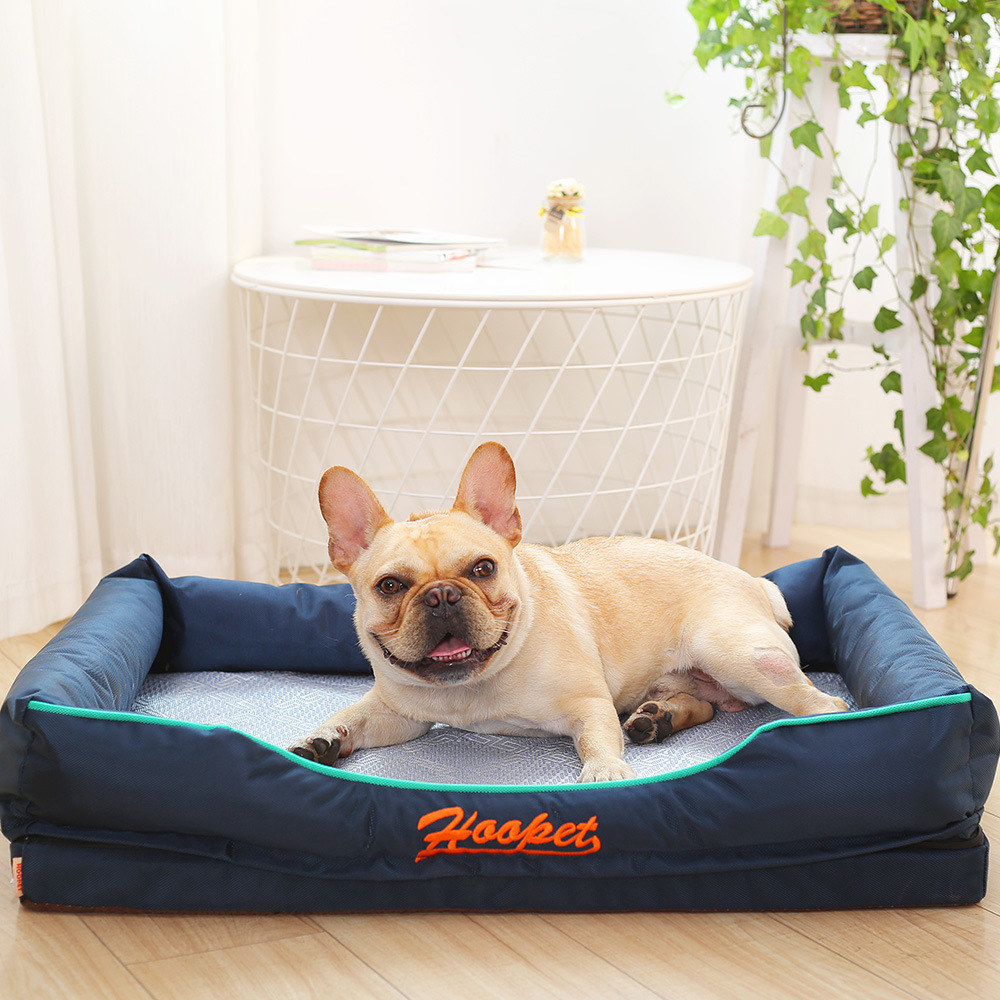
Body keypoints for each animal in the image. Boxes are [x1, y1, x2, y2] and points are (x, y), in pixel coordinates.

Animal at [288, 441, 847, 782]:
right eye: (390, 586)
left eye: (483, 569)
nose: (442, 595)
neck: (473, 688)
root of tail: (754, 581)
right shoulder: (397, 712)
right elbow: (353, 716)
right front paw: (322, 739)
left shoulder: (586, 703)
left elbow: (596, 738)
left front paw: (604, 772)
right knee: (706, 706)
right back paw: (658, 718)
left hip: (739, 655)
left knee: (821, 703)